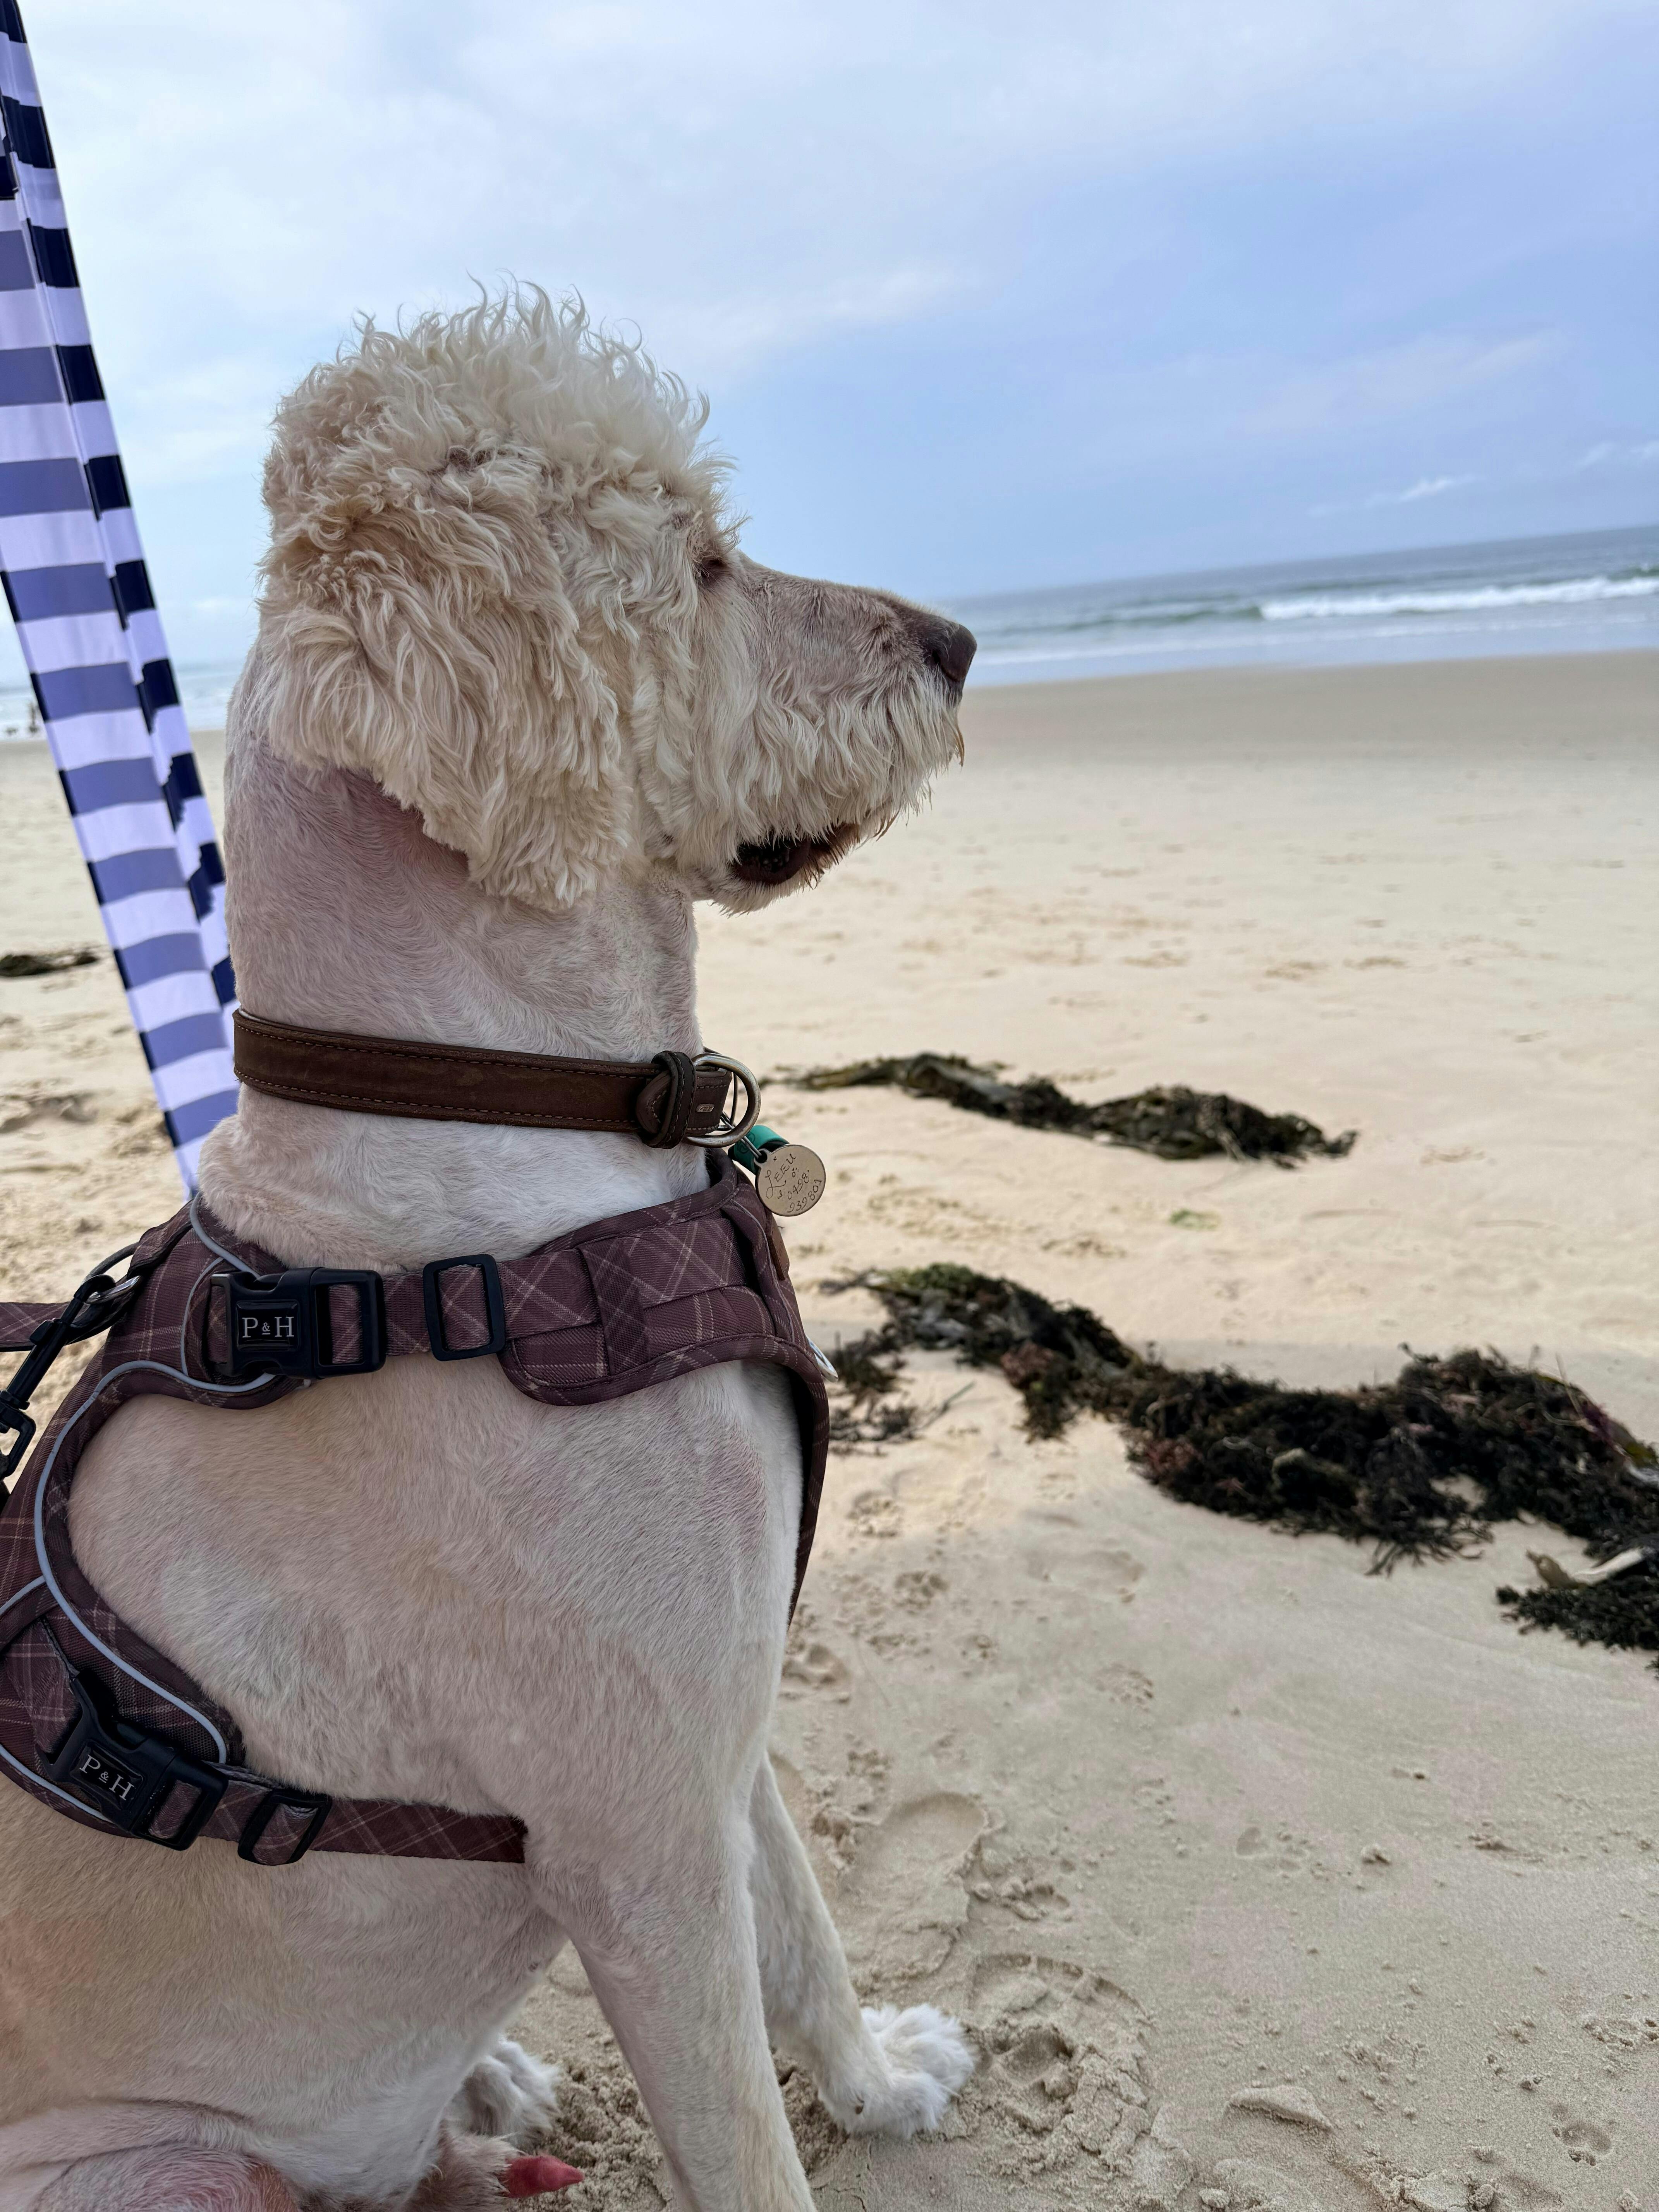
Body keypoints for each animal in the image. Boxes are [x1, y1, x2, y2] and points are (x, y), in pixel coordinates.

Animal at [0, 292, 976, 2211]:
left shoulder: (720, 1731)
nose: (959, 642)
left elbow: (812, 1936)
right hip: (167, 2169)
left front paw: (881, 2082)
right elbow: (748, 2139)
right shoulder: (639, 1848)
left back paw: (497, 2095)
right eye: (702, 566)